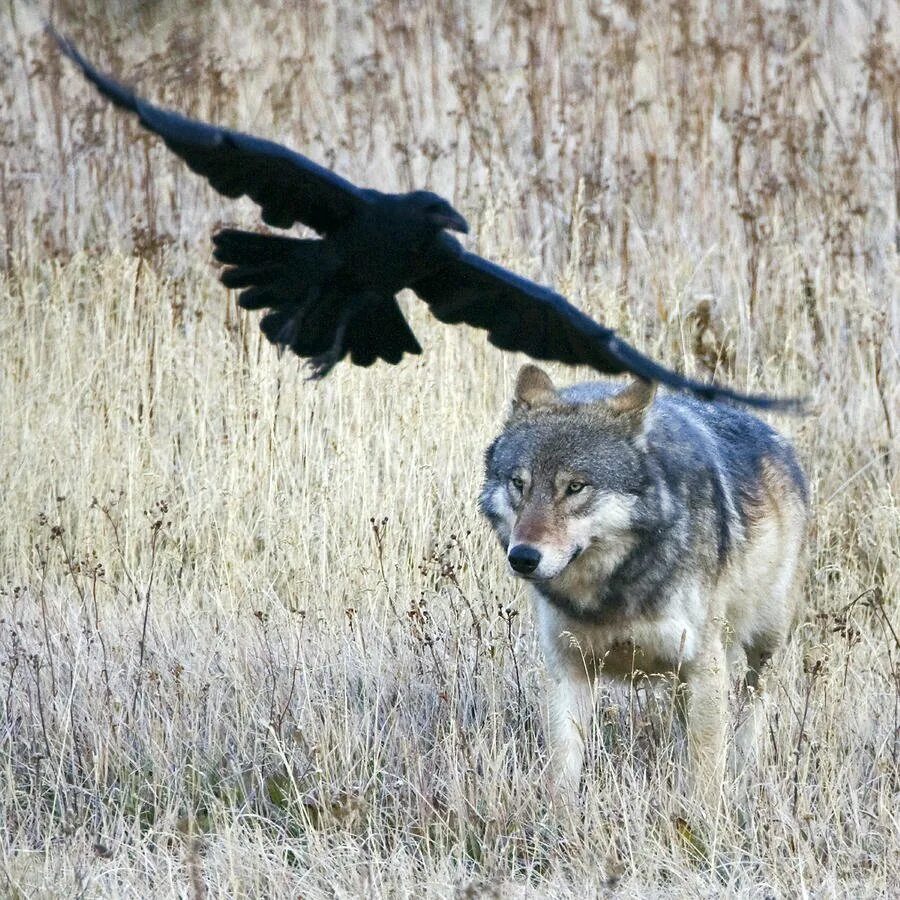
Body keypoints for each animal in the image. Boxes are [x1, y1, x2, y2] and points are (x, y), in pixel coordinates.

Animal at [482, 366, 812, 808]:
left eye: (575, 487)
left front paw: (705, 823)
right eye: (519, 483)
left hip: (764, 645)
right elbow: (562, 773)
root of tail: (775, 436)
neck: (612, 592)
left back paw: (746, 765)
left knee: (755, 702)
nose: (522, 557)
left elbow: (706, 773)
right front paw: (560, 822)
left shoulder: (704, 665)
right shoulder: (568, 668)